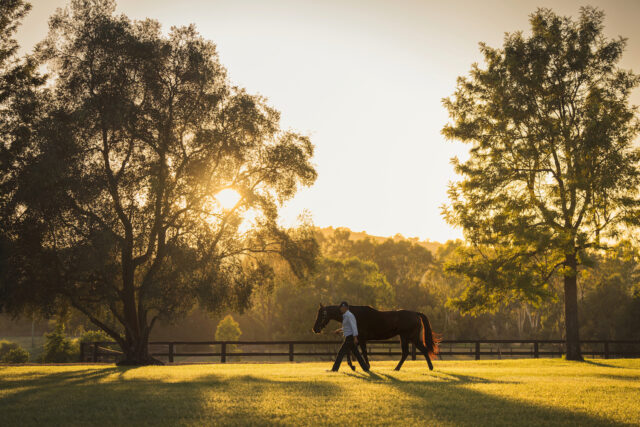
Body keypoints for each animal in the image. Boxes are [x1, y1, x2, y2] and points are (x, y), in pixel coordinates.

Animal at [312, 303, 440, 371]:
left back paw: (430, 367)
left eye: (322, 315)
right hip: (404, 337)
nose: (315, 329)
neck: (355, 315)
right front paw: (352, 365)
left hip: (412, 338)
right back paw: (397, 368)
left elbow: (362, 352)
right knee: (405, 353)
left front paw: (366, 366)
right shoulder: (356, 339)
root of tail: (416, 314)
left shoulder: (361, 339)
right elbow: (348, 350)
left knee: (423, 350)